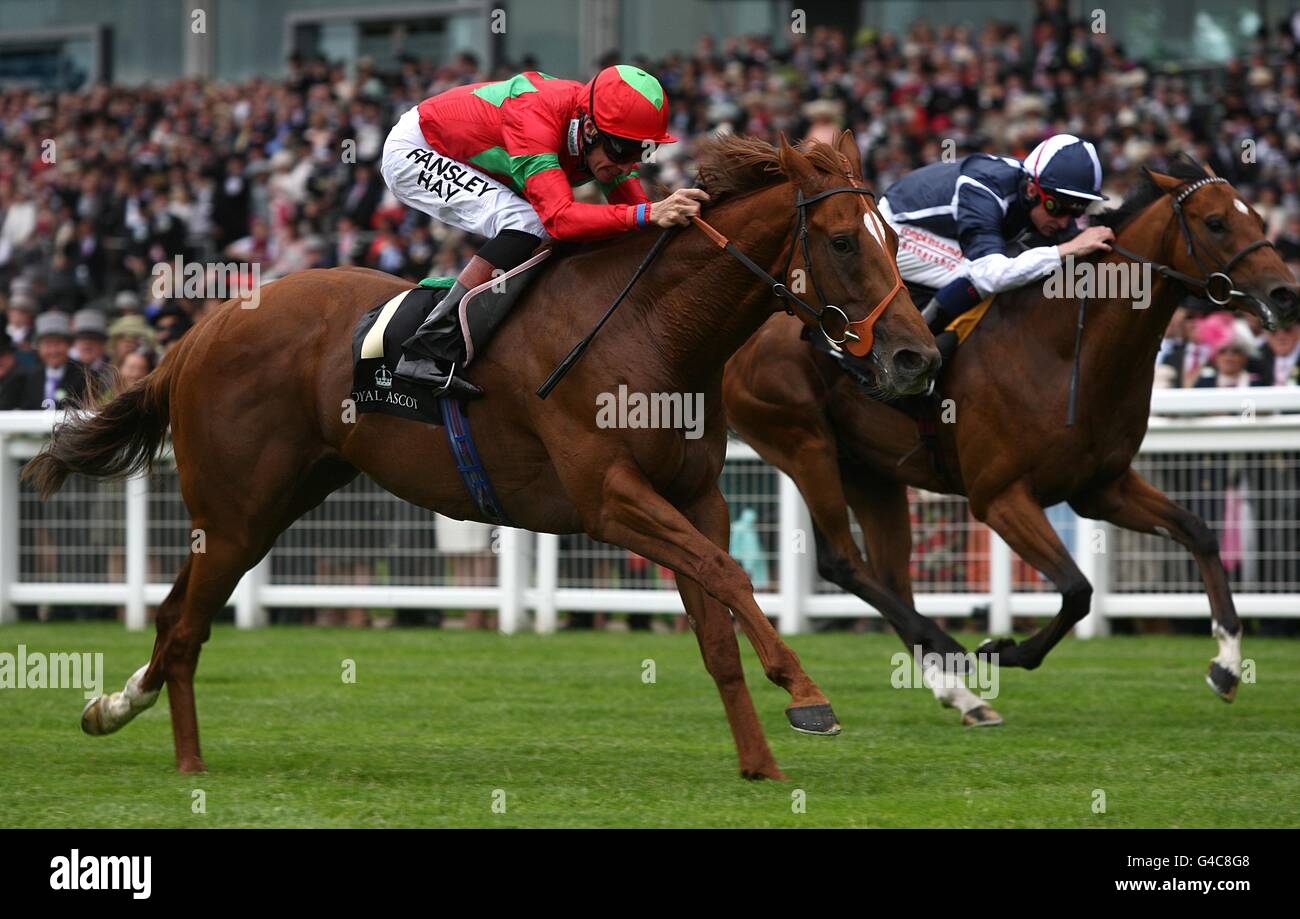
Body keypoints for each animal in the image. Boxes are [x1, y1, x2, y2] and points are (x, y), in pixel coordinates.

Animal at [20, 133, 935, 779]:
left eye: (895, 237)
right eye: (845, 241)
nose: (915, 357)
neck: (655, 329)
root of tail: (202, 329)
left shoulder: (693, 493)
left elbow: (715, 622)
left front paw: (760, 763)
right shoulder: (609, 497)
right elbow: (732, 574)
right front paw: (808, 696)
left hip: (273, 504)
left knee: (176, 612)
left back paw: (115, 708)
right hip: (237, 508)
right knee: (184, 623)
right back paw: (185, 760)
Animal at [722, 154, 1300, 722]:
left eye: (1258, 218)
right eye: (1216, 222)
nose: (1285, 293)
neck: (1063, 347)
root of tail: (741, 338)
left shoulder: (1101, 488)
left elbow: (1198, 532)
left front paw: (1227, 663)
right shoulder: (1000, 497)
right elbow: (1078, 589)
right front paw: (1003, 649)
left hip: (870, 471)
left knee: (888, 574)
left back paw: (959, 694)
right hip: (804, 445)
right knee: (842, 560)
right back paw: (950, 651)